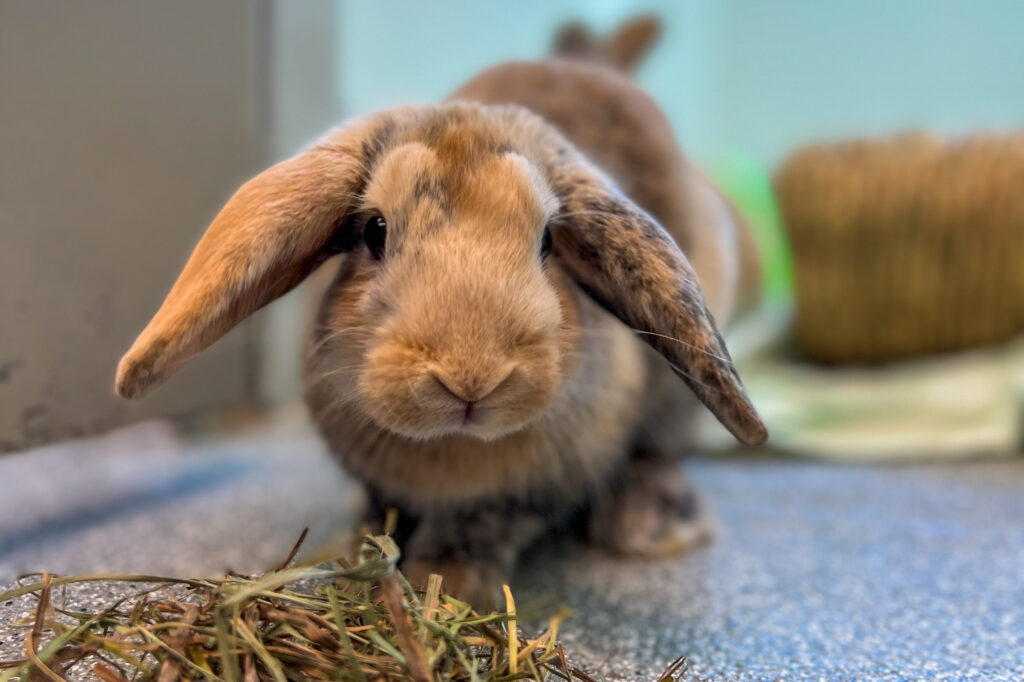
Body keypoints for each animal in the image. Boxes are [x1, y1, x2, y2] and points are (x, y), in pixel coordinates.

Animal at [114, 57, 767, 603]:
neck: (449, 447)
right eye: (374, 230)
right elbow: (380, 510)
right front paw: (359, 557)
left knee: (658, 454)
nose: (470, 378)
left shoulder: (525, 494)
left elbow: (481, 523)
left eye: (547, 243)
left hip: (672, 412)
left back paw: (649, 523)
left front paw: (446, 580)